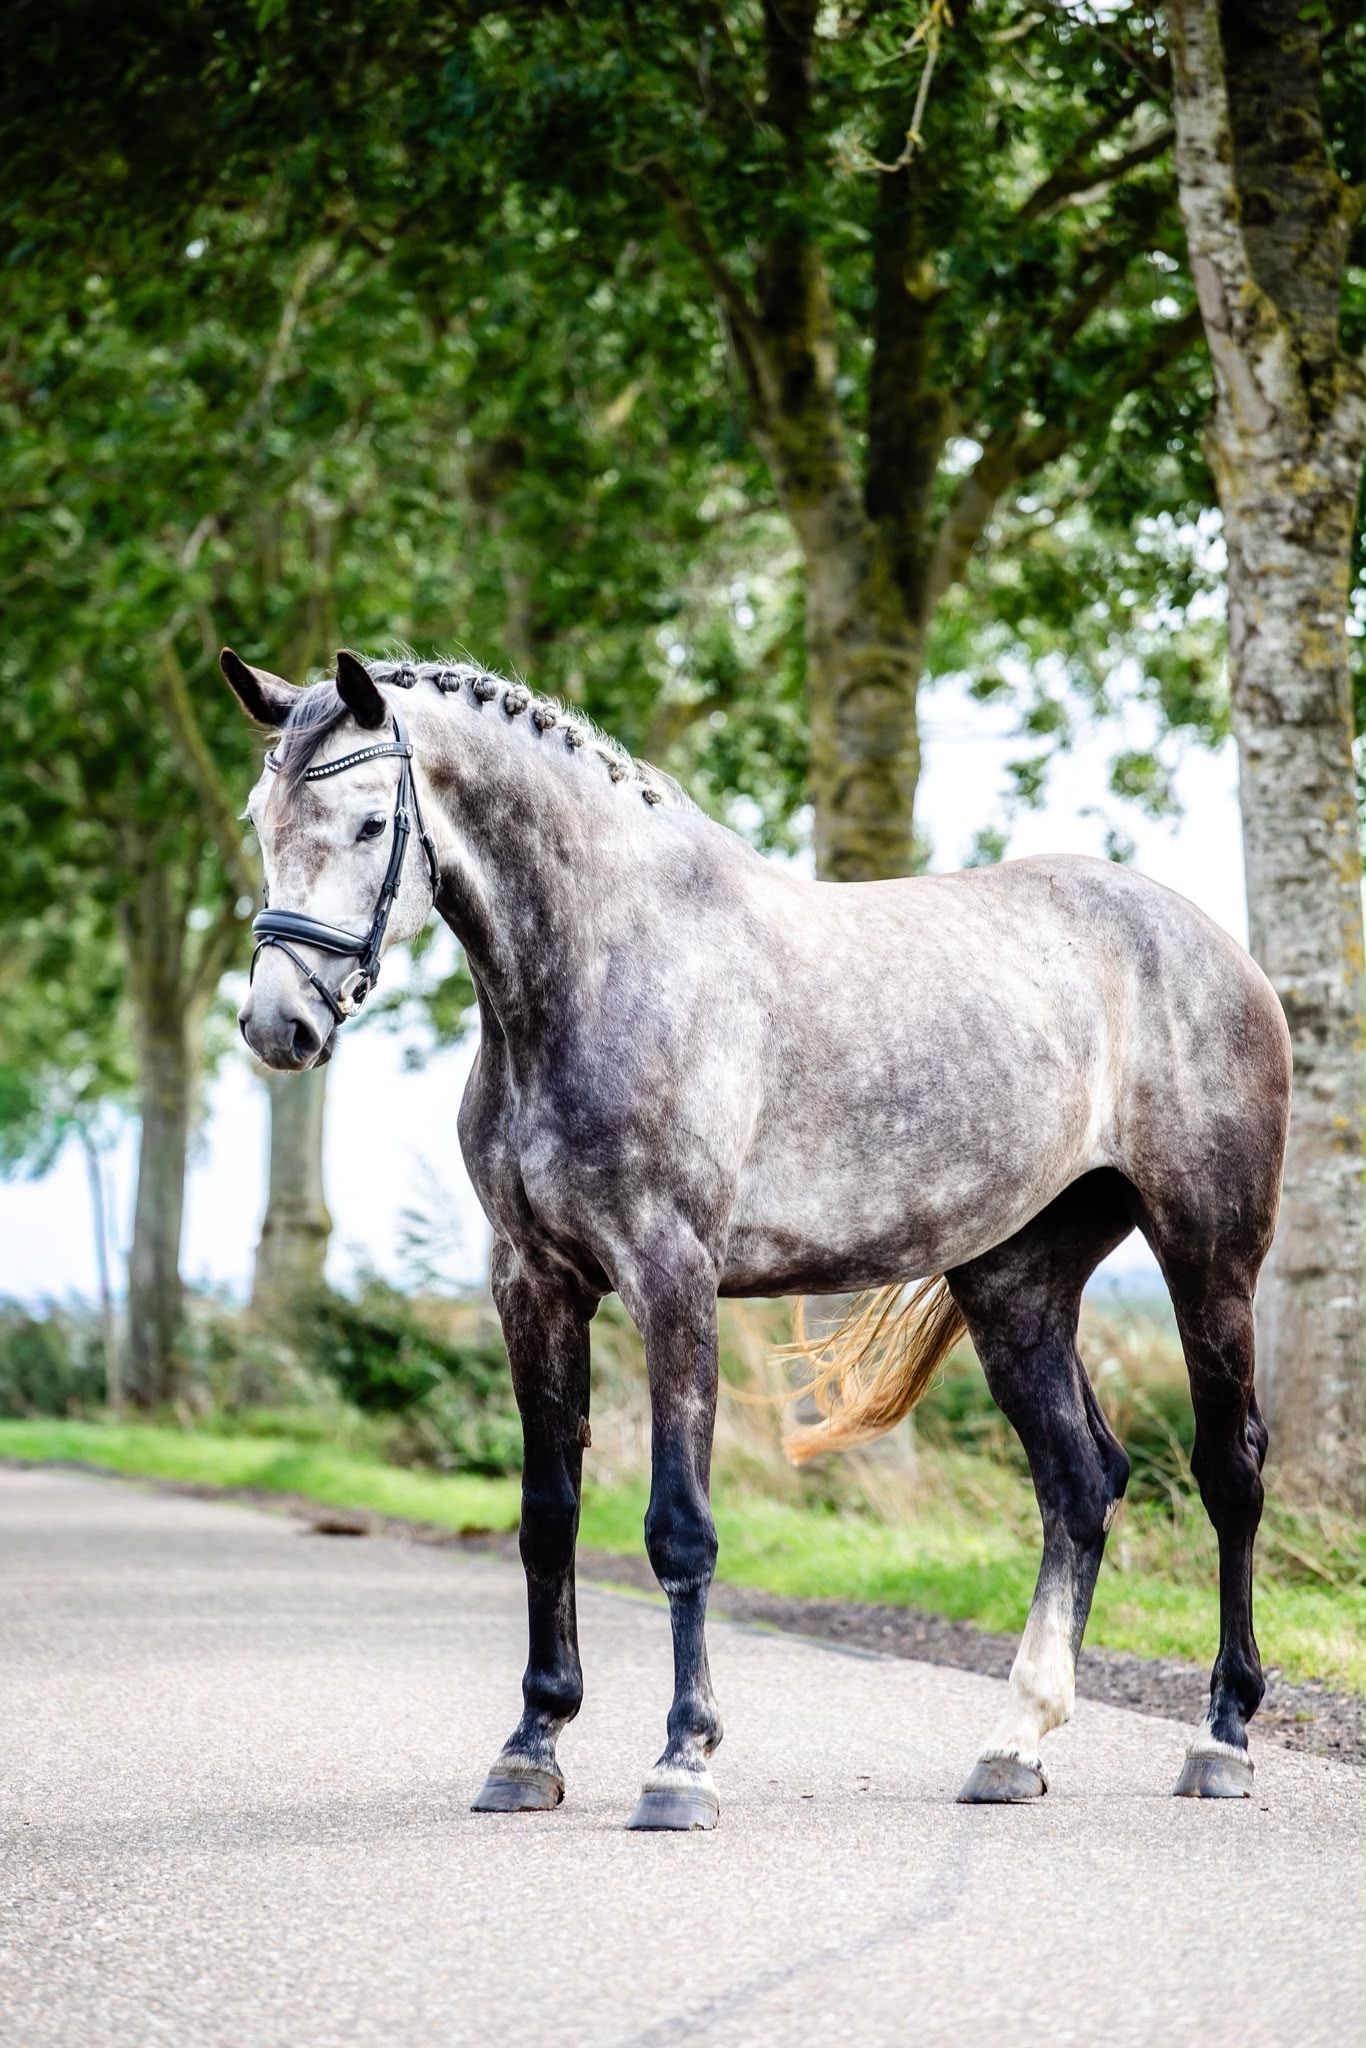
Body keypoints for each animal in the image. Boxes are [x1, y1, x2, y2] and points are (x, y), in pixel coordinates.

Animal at [223, 643, 1291, 1829]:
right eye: (261, 818)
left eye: (372, 823)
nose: (278, 1024)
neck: (604, 965)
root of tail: (1213, 945)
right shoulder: (532, 1283)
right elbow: (547, 1517)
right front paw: (531, 1748)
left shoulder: (670, 1276)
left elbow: (677, 1525)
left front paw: (682, 1761)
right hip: (1015, 1278)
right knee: (1079, 1481)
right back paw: (1014, 1744)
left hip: (1209, 1254)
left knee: (1228, 1471)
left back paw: (1222, 1738)